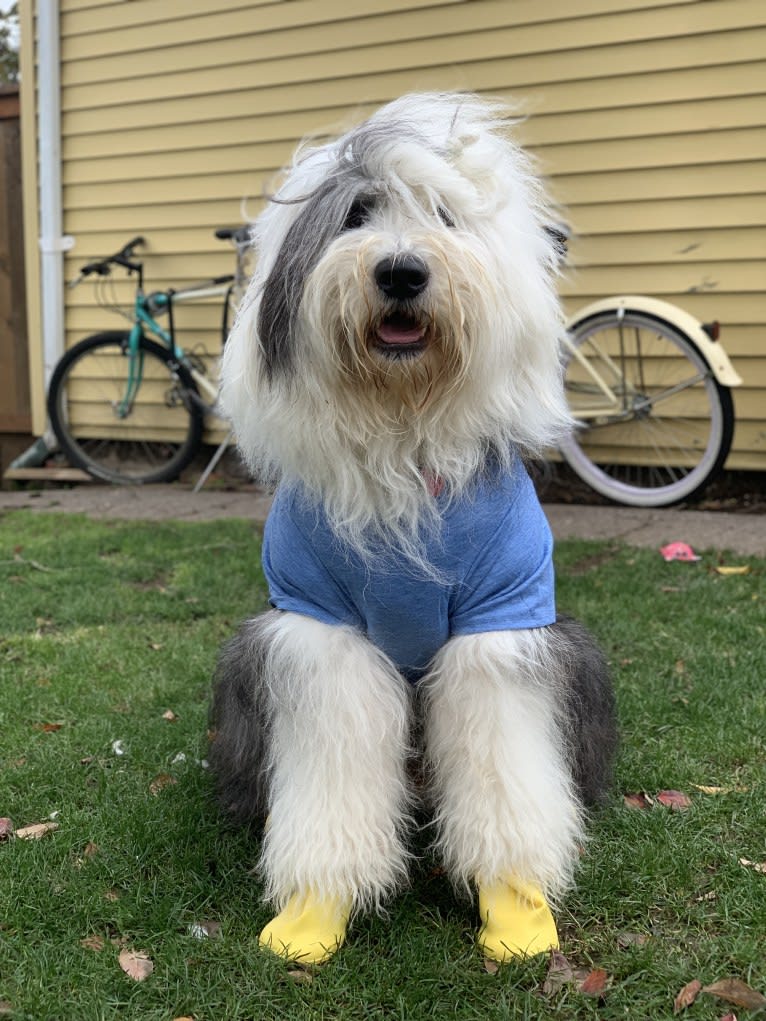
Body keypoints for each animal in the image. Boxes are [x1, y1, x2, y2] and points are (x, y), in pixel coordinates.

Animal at [208, 93, 616, 963]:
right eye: (357, 213)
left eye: (445, 215)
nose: (400, 271)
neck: (402, 431)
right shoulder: (322, 631)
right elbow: (333, 771)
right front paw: (315, 907)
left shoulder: (501, 625)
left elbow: (503, 766)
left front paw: (515, 902)